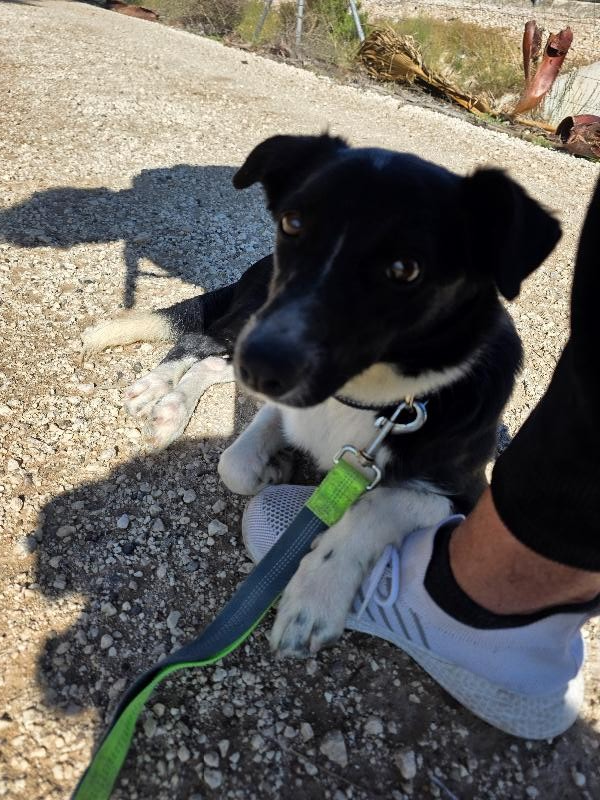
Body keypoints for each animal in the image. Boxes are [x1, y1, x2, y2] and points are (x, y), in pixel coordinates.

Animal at [82, 134, 561, 656]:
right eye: (293, 223)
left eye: (405, 268)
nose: (265, 363)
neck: (375, 402)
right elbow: (235, 463)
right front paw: (273, 467)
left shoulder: (460, 495)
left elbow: (371, 507)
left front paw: (313, 597)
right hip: (247, 321)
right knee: (199, 342)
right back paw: (164, 396)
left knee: (211, 359)